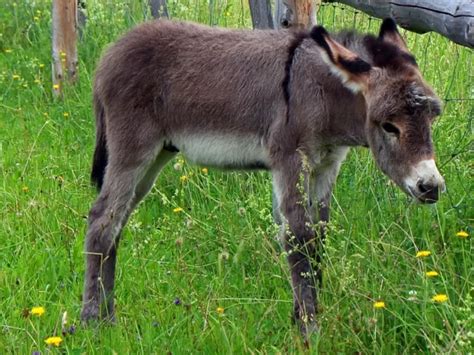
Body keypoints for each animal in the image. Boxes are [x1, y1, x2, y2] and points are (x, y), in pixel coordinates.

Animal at [81, 19, 444, 336]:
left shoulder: (326, 165)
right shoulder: (290, 158)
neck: (322, 91)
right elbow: (298, 238)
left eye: (432, 117)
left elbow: (318, 235)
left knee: (117, 224)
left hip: (157, 155)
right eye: (389, 126)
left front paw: (303, 319)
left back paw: (109, 318)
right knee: (102, 220)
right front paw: (309, 331)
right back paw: (91, 324)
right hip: (133, 149)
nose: (431, 187)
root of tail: (111, 53)